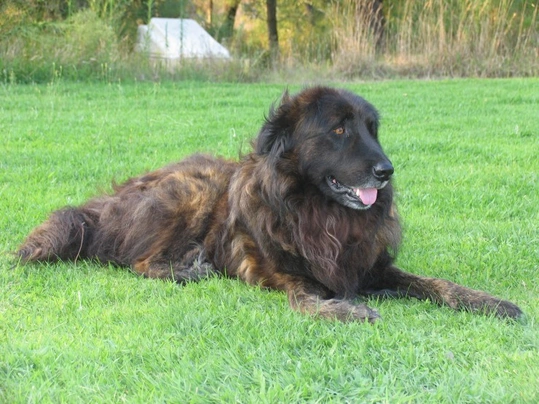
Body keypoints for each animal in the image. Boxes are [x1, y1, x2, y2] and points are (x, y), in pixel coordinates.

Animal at [17, 86, 524, 322]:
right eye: (339, 129)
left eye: (372, 130)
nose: (386, 171)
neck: (321, 214)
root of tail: (103, 203)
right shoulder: (285, 276)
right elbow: (310, 301)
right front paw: (348, 311)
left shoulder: (372, 267)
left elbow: (439, 283)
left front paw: (491, 302)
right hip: (193, 190)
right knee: (138, 261)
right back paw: (188, 268)